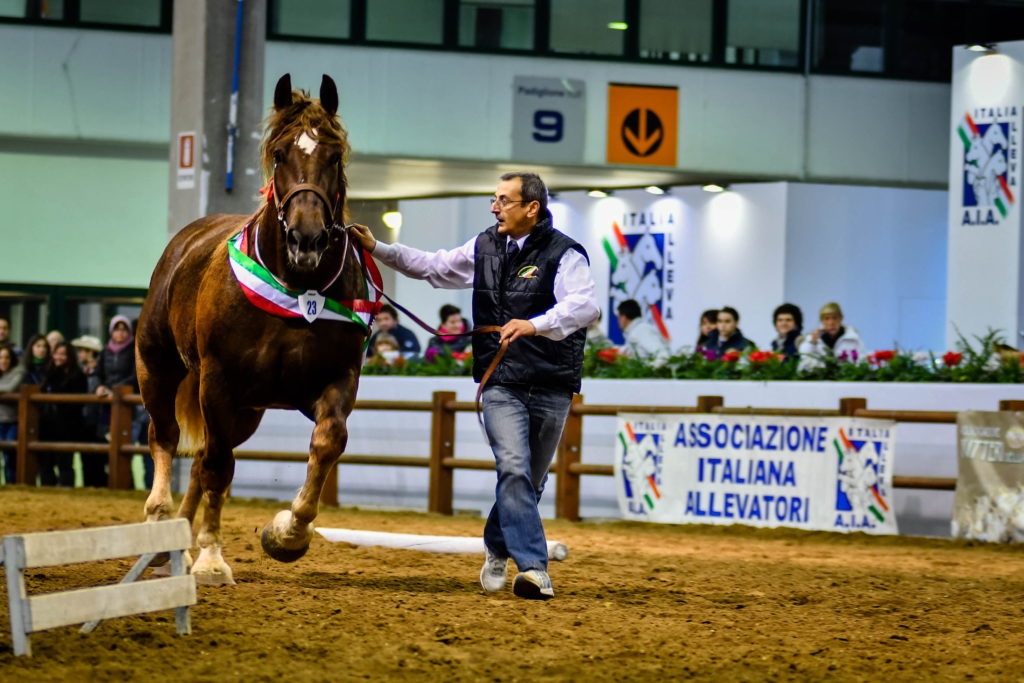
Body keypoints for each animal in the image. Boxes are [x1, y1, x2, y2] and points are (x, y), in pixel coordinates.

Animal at [136, 74, 374, 584]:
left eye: (335, 156)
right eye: (280, 154)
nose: (307, 239)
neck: (297, 286)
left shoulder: (336, 380)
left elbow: (328, 442)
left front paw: (288, 534)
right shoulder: (217, 381)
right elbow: (217, 466)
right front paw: (212, 558)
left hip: (246, 410)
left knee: (203, 456)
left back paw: (181, 545)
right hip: (158, 369)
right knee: (166, 437)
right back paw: (160, 527)